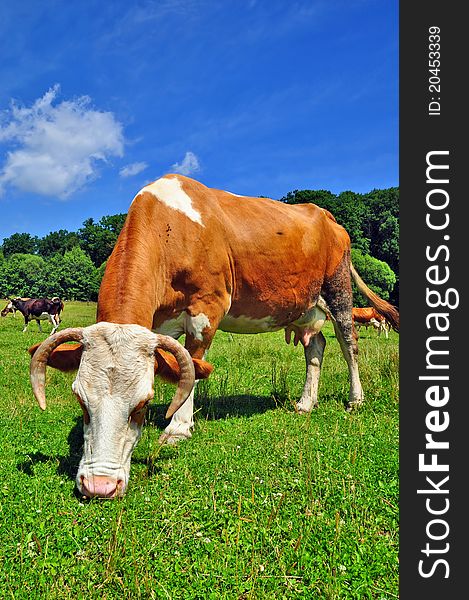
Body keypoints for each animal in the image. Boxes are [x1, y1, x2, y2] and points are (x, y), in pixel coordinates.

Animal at [27, 176, 396, 500]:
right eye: (80, 399)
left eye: (143, 403)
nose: (99, 486)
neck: (170, 229)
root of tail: (326, 215)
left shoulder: (207, 309)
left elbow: (192, 365)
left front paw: (178, 428)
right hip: (304, 306)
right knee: (315, 347)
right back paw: (306, 403)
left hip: (338, 290)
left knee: (349, 344)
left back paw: (355, 399)